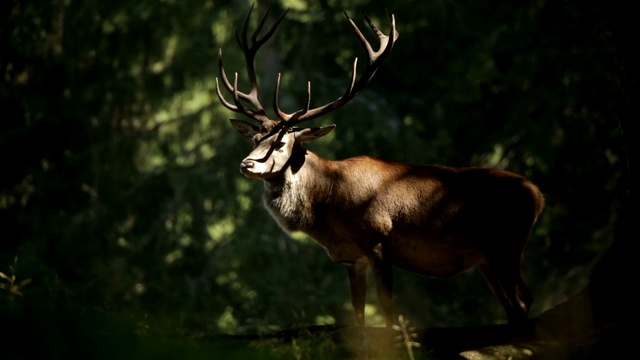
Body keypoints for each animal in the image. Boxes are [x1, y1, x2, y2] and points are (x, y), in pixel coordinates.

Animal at [216, 3, 544, 330]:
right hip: (487, 258)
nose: (247, 164)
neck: (329, 207)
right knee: (515, 304)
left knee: (521, 301)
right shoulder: (352, 258)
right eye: (255, 139)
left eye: (281, 142)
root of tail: (538, 196)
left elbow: (387, 310)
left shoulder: (378, 240)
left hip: (506, 246)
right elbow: (358, 314)